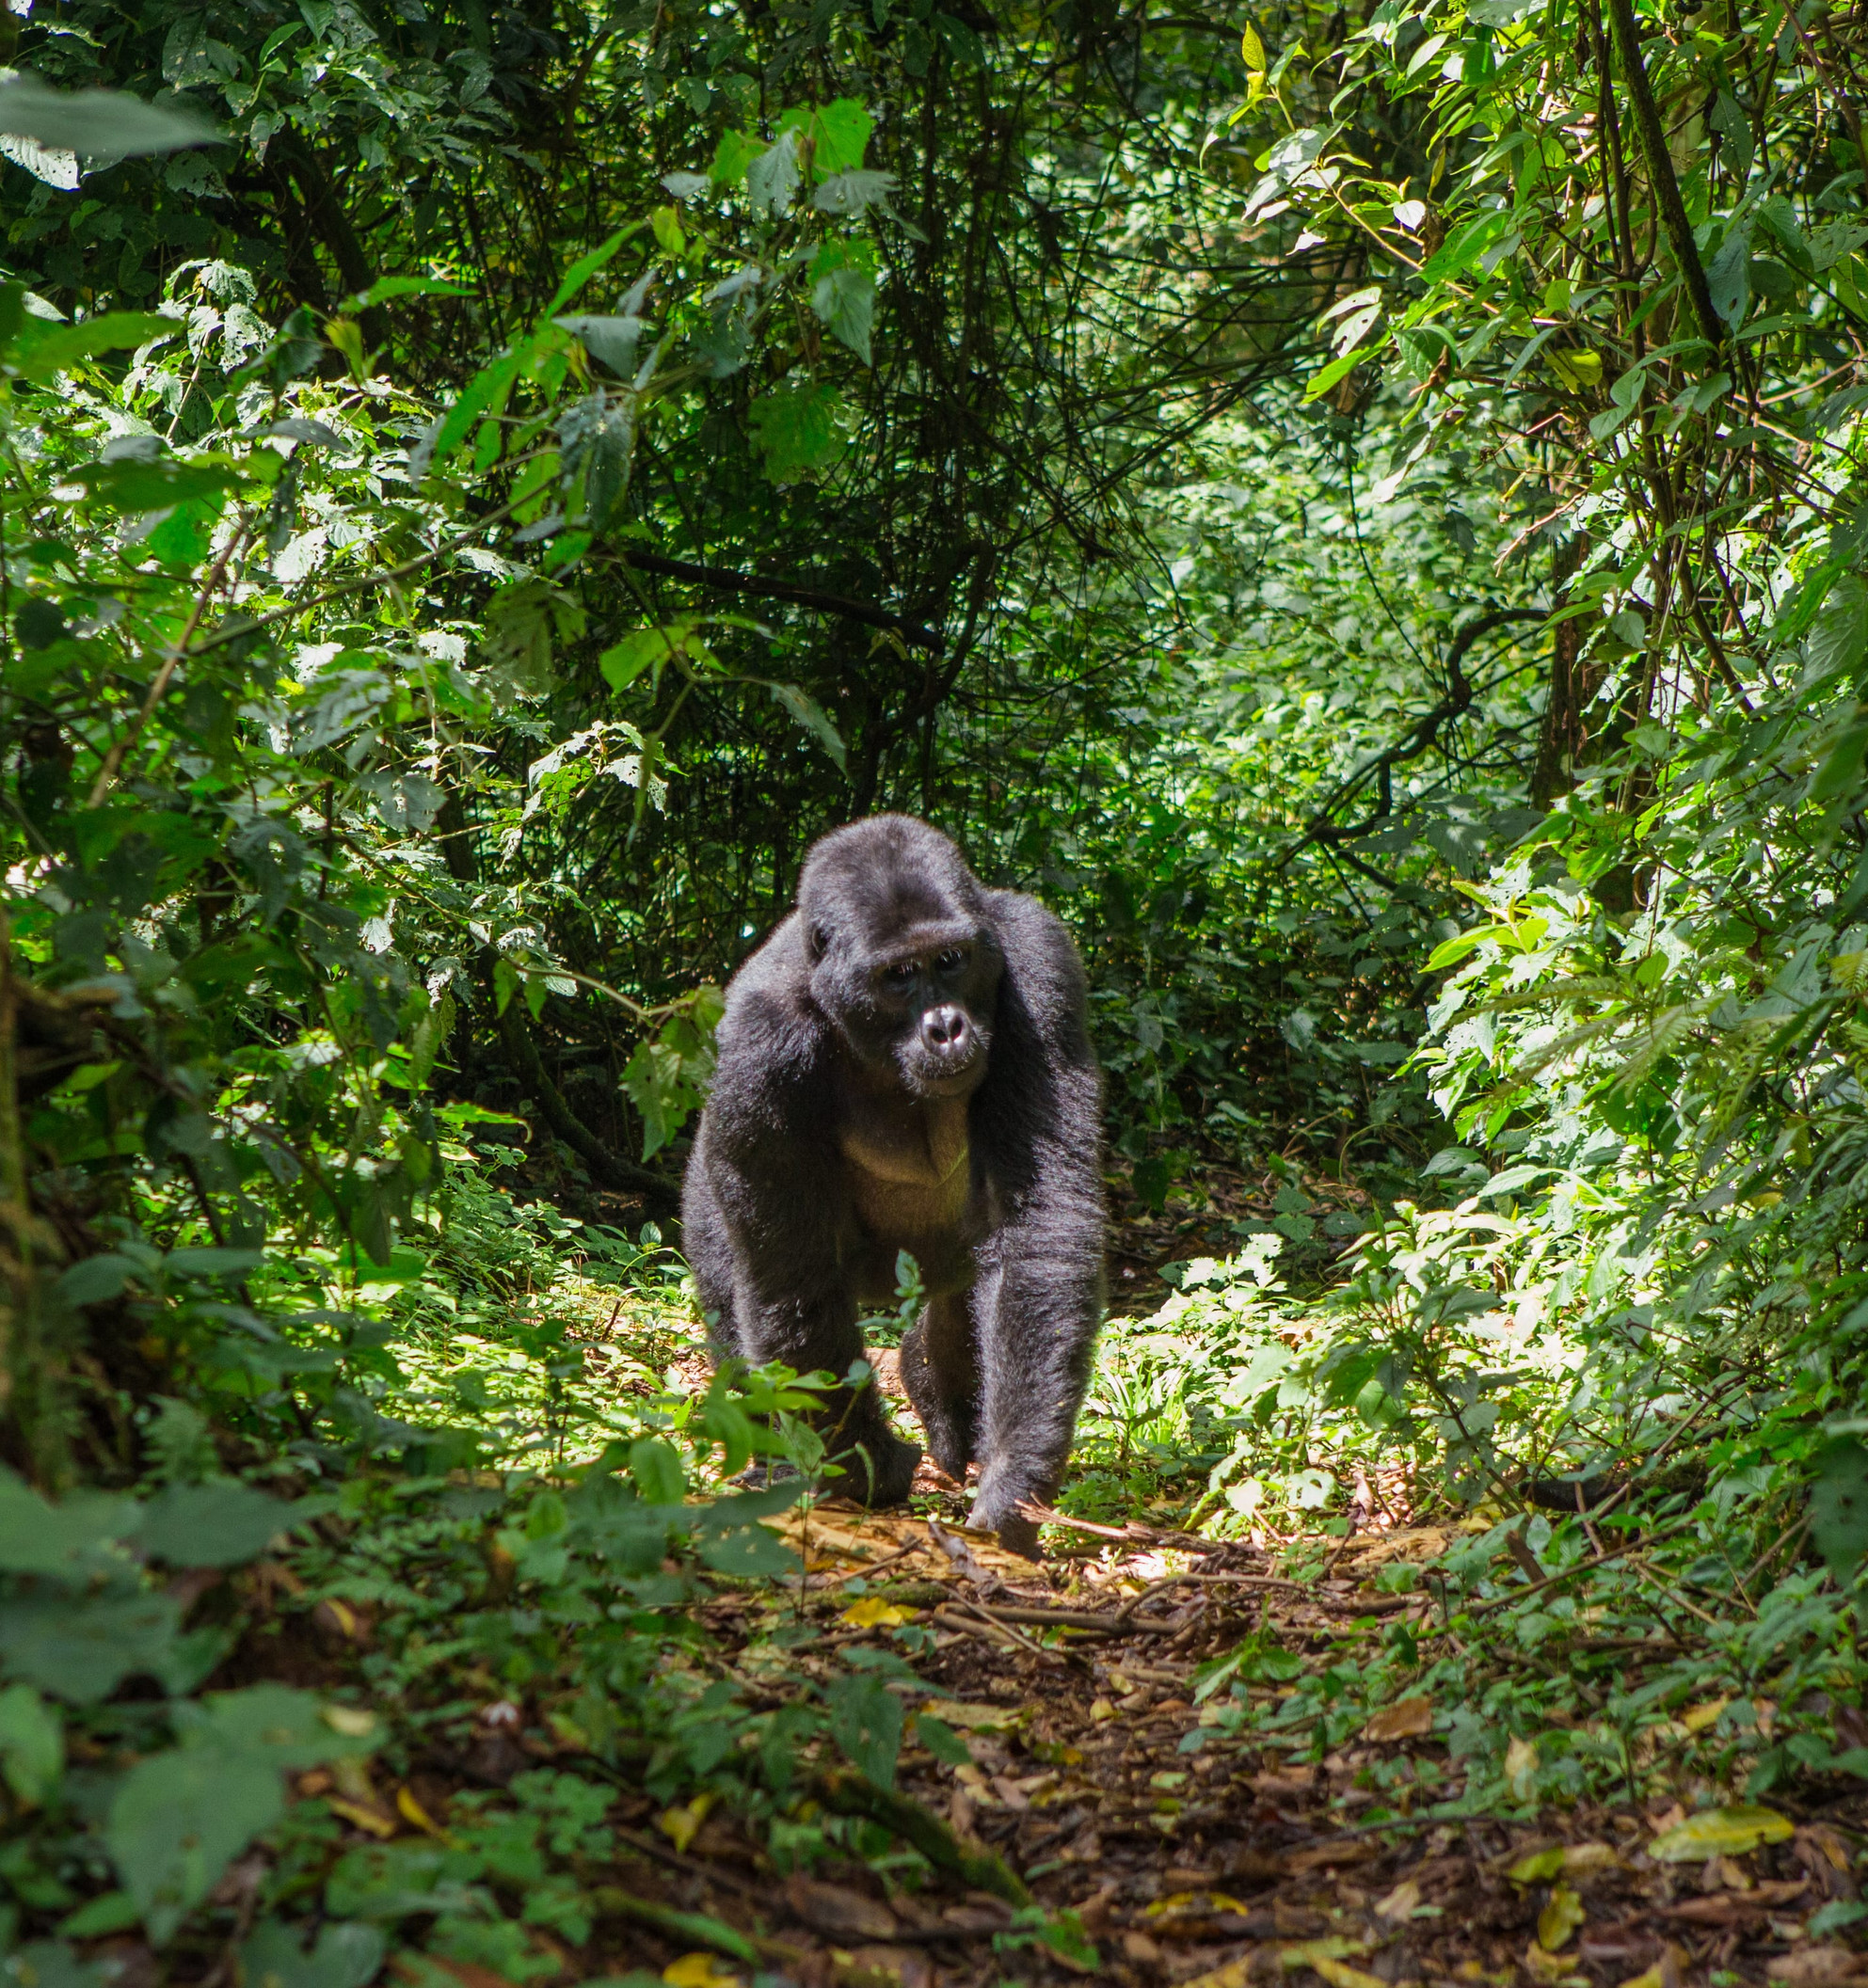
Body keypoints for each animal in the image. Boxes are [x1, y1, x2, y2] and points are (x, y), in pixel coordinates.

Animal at [681, 814, 1106, 1557]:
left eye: (950, 961)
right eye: (898, 975)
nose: (947, 1027)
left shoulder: (1038, 960)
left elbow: (1038, 1224)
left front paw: (1014, 1477)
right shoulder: (758, 1044)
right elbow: (795, 1277)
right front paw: (865, 1470)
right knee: (733, 1288)